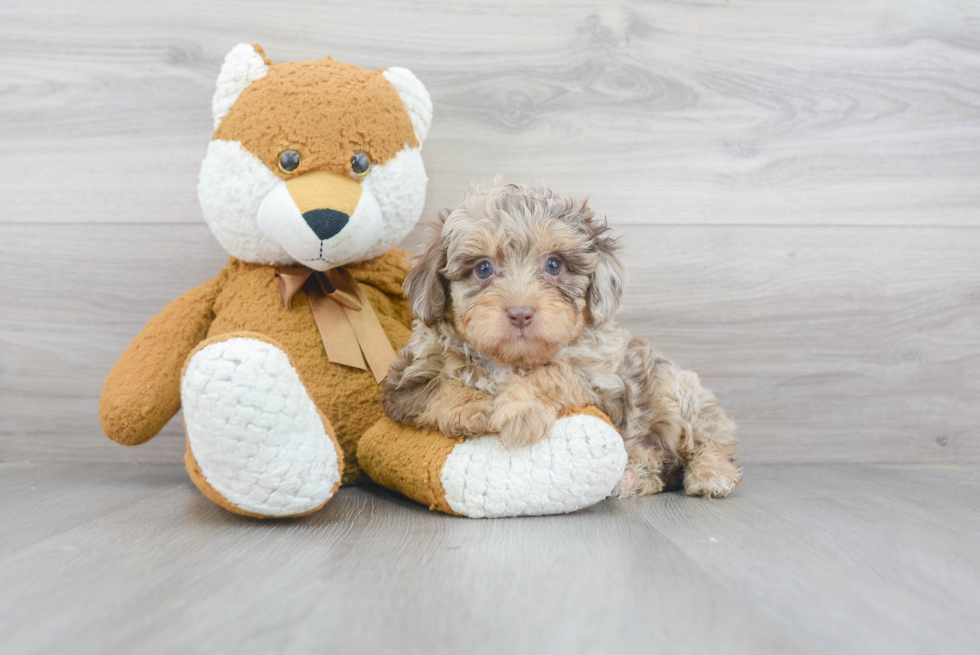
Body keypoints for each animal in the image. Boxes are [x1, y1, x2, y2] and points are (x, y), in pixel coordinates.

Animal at [386, 183, 740, 498]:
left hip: (674, 390)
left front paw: (521, 411)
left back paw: (711, 473)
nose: (520, 313)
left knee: (712, 435)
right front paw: (473, 408)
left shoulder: (606, 387)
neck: (512, 361)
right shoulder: (406, 381)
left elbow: (554, 374)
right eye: (483, 268)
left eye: (554, 264)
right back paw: (633, 478)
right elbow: (443, 385)